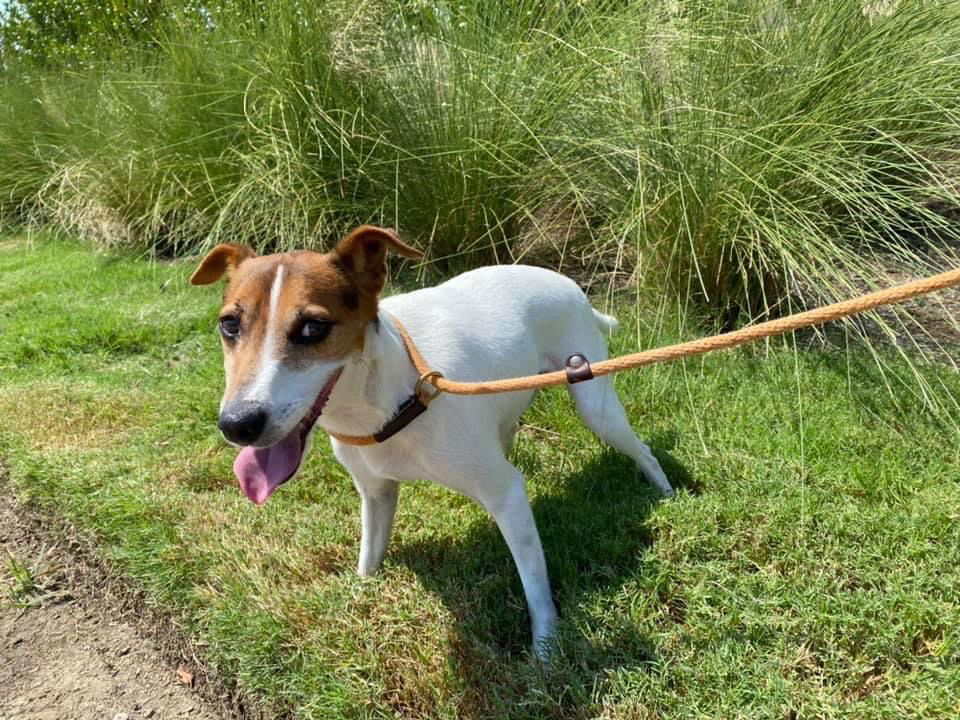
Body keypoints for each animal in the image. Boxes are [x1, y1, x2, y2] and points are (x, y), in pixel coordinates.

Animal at [191, 225, 672, 660]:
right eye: (229, 324)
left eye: (313, 328)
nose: (237, 424)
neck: (395, 392)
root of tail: (570, 284)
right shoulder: (376, 493)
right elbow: (370, 553)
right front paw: (360, 595)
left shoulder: (506, 494)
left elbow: (534, 582)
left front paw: (546, 650)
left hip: (594, 399)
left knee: (642, 450)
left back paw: (666, 492)